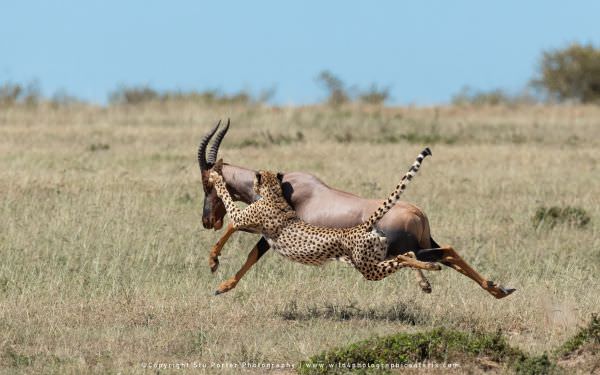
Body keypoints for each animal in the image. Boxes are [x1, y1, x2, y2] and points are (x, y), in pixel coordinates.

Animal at [207, 148, 440, 280]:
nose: (208, 220)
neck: (276, 193)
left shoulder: (244, 219)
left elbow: (230, 212)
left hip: (369, 268)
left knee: (407, 258)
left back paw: (430, 268)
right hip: (376, 260)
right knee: (408, 255)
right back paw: (428, 271)